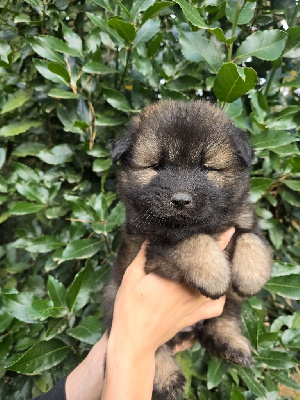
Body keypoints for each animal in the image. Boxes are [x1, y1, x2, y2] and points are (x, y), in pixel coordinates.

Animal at [102, 101, 272, 400]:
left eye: (206, 168)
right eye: (157, 166)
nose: (181, 200)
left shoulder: (241, 216)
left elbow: (251, 236)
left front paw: (252, 276)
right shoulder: (153, 247)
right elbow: (192, 241)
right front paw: (215, 274)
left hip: (223, 310)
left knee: (222, 318)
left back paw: (232, 344)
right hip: (114, 300)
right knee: (153, 350)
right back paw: (167, 380)